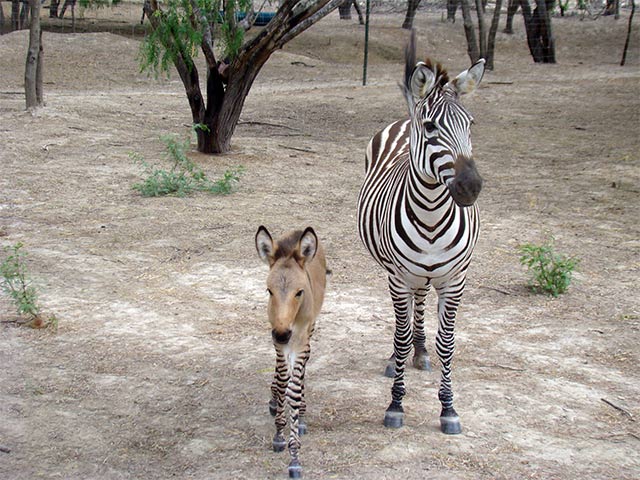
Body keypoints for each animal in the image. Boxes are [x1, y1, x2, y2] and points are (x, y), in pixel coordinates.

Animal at [356, 30, 484, 436]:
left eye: (471, 124)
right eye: (430, 128)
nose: (471, 188)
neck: (430, 217)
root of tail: (403, 118)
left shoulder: (455, 280)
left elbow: (448, 343)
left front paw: (449, 408)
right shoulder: (398, 276)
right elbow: (399, 336)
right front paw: (396, 404)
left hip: (428, 276)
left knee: (421, 303)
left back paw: (421, 351)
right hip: (394, 271)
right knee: (405, 314)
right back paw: (399, 356)